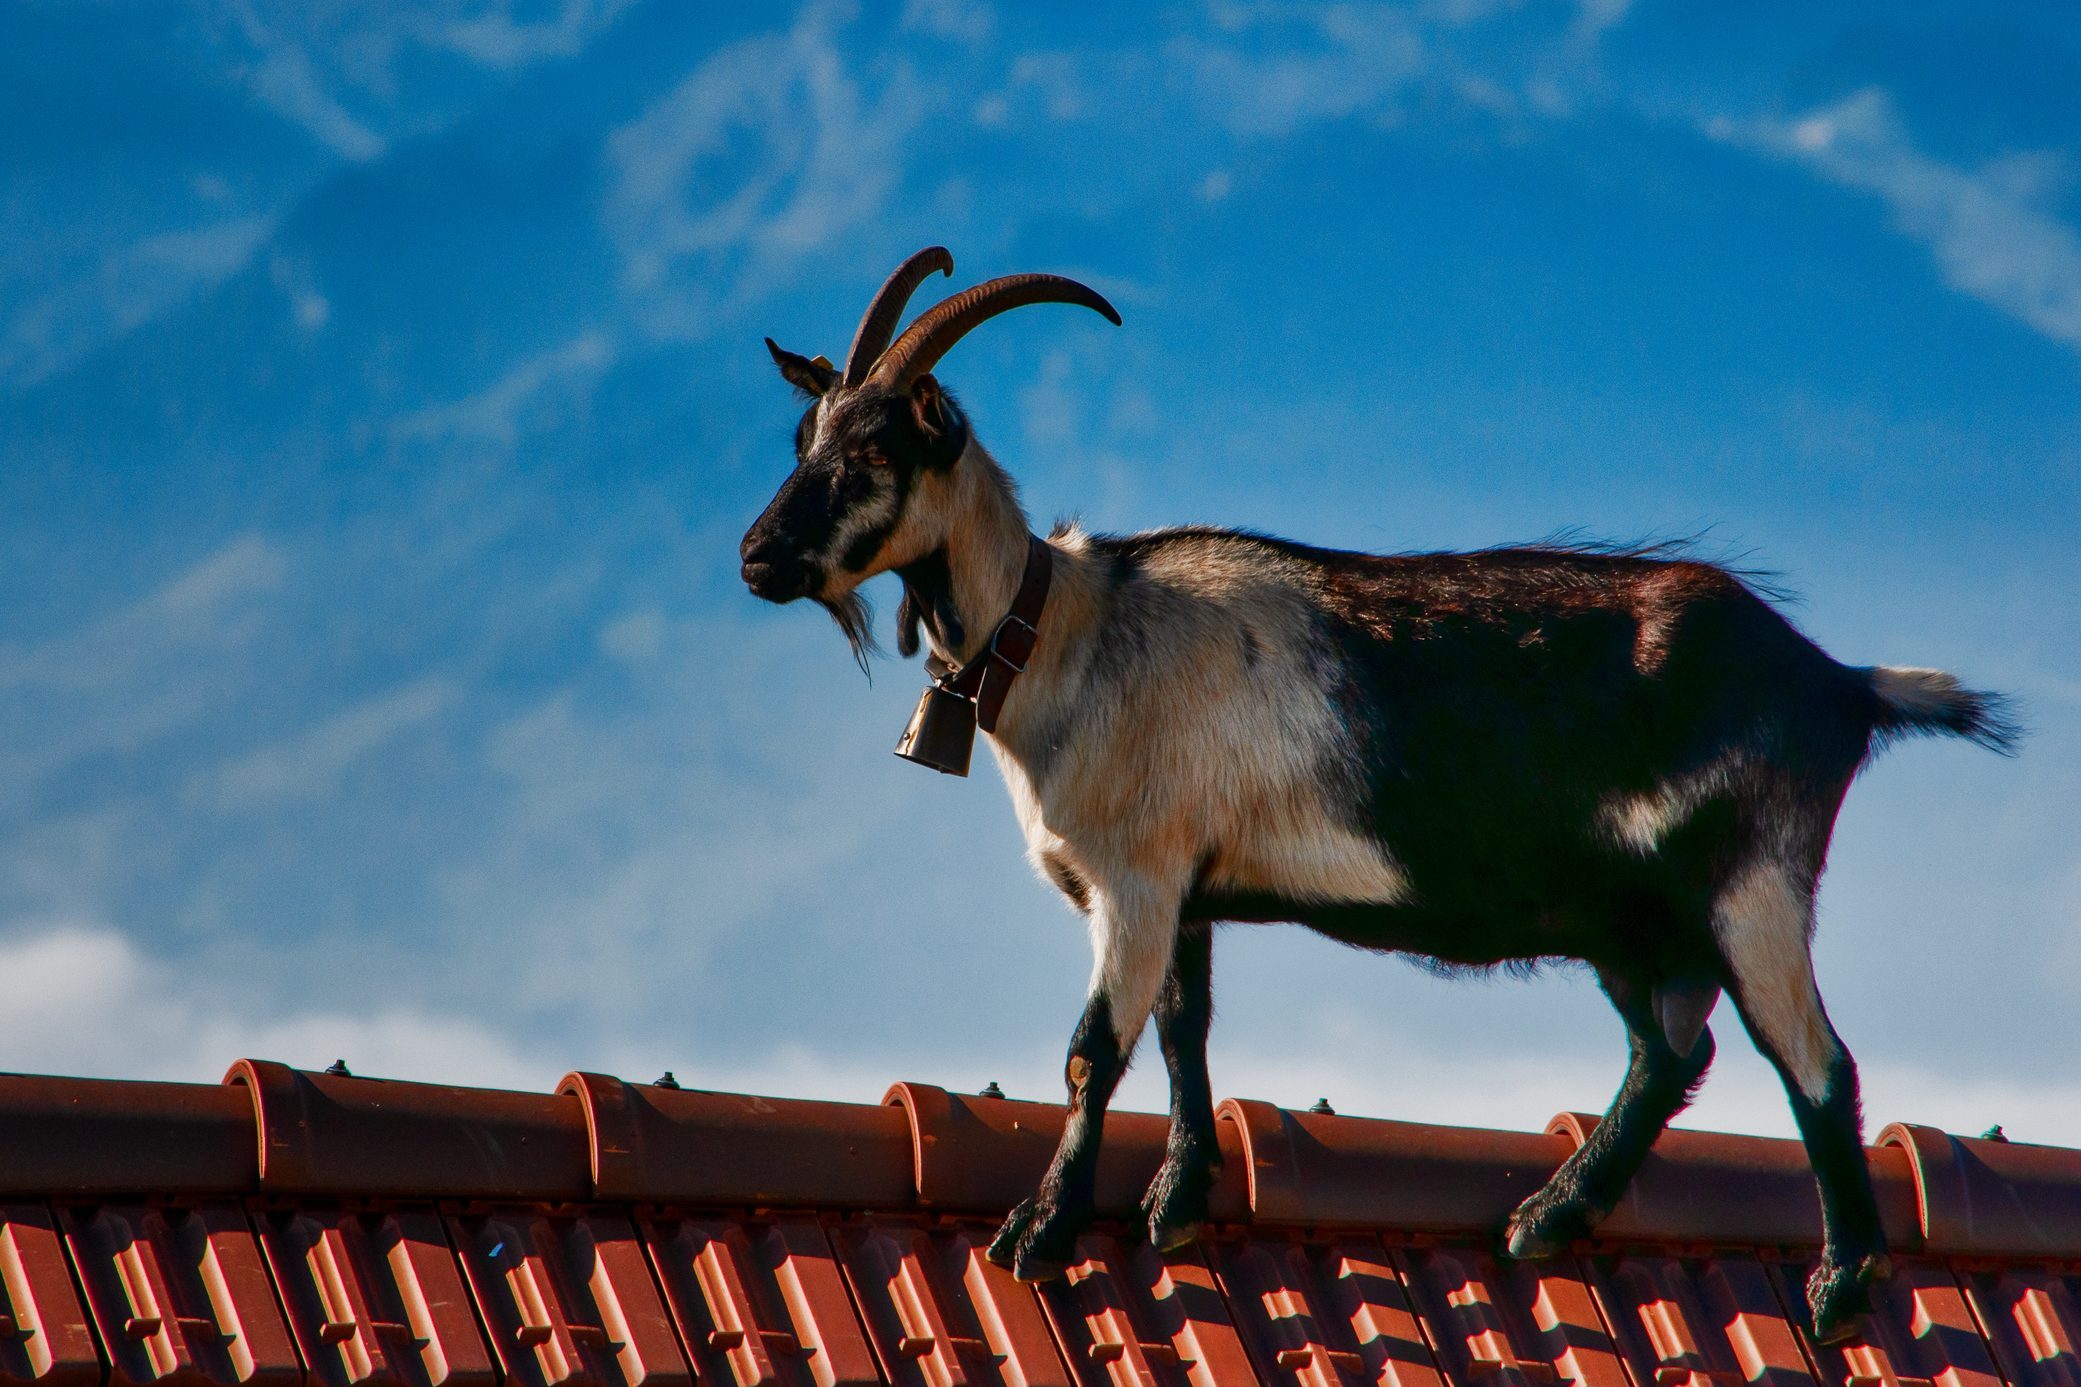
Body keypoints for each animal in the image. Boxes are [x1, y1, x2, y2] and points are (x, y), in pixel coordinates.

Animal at [738, 247, 2017, 1345]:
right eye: (802, 436)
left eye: (874, 454)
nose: (755, 558)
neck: (1066, 632)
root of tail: (1836, 681)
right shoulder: (1182, 888)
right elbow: (1184, 1029)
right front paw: (1178, 1201)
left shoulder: (1131, 877)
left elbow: (1092, 1050)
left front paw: (1038, 1234)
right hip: (1627, 918)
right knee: (1670, 1052)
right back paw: (1546, 1217)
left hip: (1748, 886)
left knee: (1814, 1063)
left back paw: (1838, 1288)